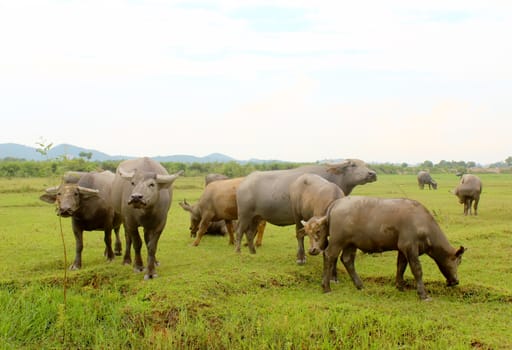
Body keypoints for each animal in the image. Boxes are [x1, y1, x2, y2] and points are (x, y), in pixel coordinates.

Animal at [236, 159, 376, 262]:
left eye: (366, 164)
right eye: (353, 165)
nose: (372, 174)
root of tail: (243, 183)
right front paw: (301, 257)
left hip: (256, 217)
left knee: (250, 233)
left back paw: (252, 252)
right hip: (244, 215)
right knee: (239, 231)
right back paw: (238, 251)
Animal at [302, 197, 466, 300]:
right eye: (458, 261)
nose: (456, 281)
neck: (423, 223)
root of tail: (337, 203)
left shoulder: (402, 249)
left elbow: (401, 266)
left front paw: (400, 286)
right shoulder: (410, 247)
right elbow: (417, 270)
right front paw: (423, 294)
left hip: (350, 243)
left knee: (347, 260)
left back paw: (360, 285)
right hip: (337, 241)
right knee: (329, 256)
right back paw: (326, 287)